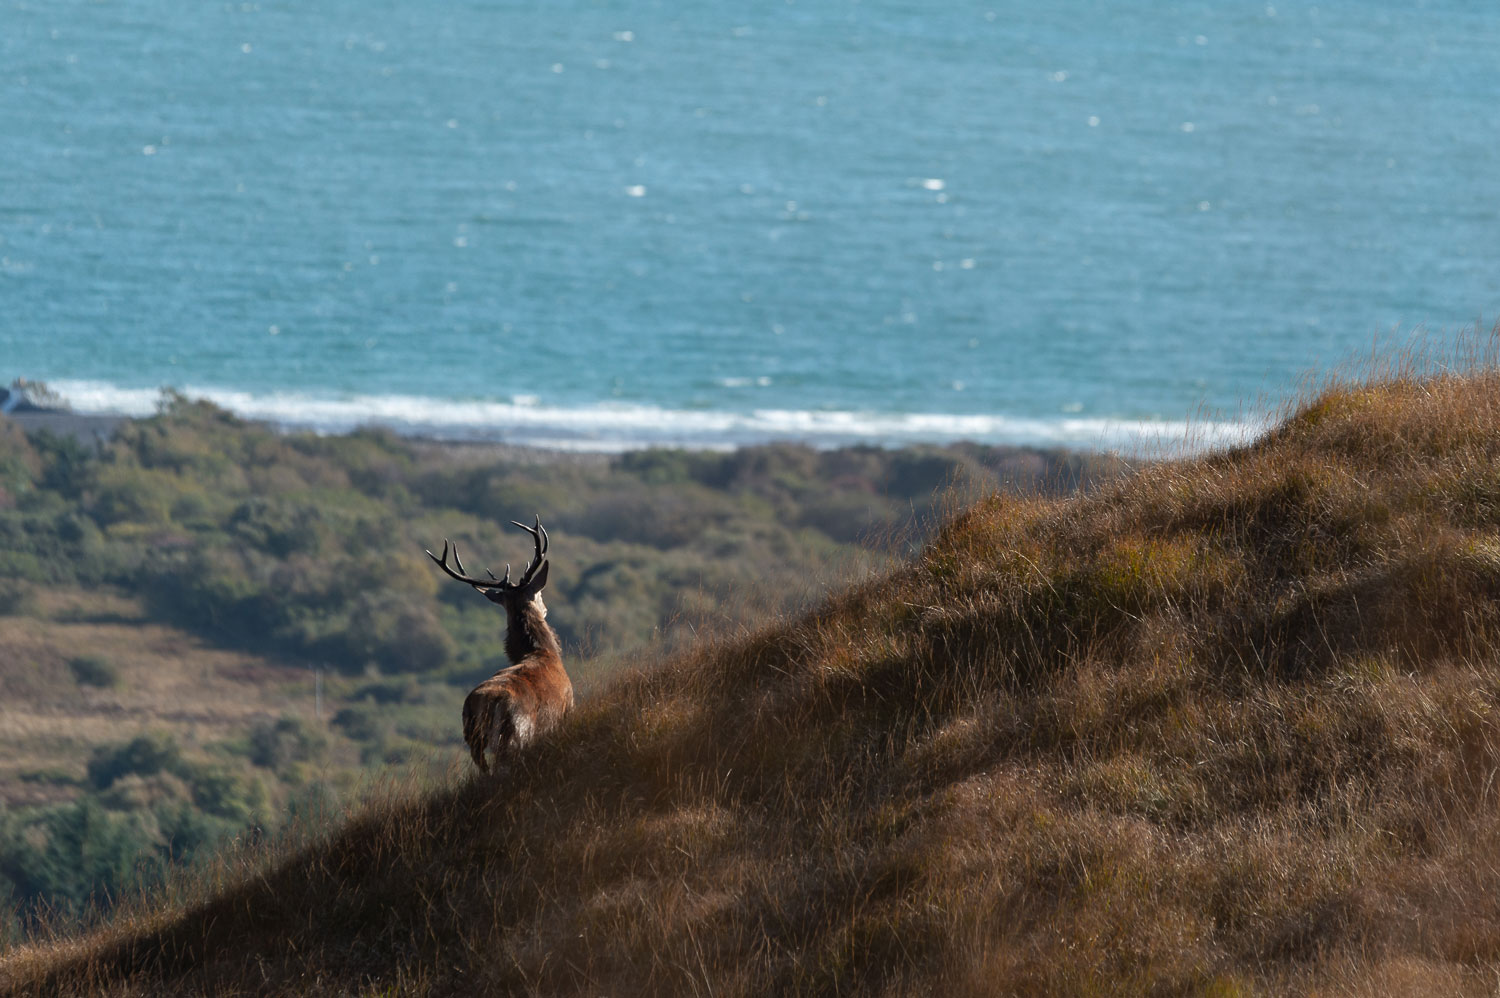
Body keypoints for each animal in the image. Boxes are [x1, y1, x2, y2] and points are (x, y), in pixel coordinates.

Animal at [426, 516, 573, 774]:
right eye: (539, 595)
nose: (546, 608)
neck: (543, 652)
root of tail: (484, 703)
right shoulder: (569, 708)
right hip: (514, 736)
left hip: (472, 738)